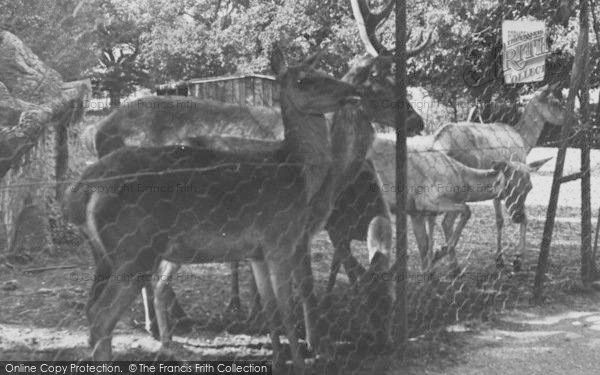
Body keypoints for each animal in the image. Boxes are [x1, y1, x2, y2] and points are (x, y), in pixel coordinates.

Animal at [64, 47, 370, 374]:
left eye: (324, 71)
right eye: (304, 80)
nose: (352, 91)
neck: (297, 175)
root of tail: (81, 190)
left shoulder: (257, 252)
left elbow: (271, 308)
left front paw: (278, 359)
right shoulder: (279, 238)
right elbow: (287, 309)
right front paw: (300, 363)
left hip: (106, 255)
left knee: (93, 311)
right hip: (133, 251)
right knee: (102, 316)